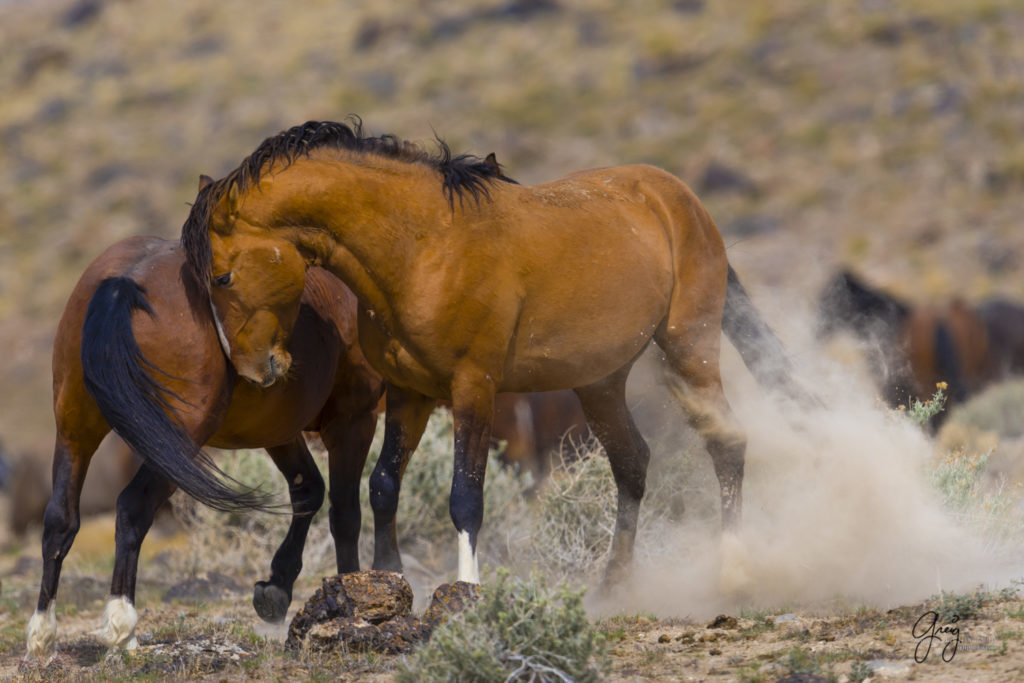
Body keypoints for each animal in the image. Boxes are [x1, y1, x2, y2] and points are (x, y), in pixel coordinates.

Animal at [24, 228, 385, 655]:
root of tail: (122, 281)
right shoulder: (353, 420)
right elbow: (345, 512)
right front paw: (352, 594)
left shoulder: (279, 430)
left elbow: (308, 490)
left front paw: (277, 588)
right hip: (175, 438)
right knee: (133, 506)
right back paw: (121, 624)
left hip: (74, 431)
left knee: (60, 519)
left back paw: (43, 630)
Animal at [180, 117, 806, 589]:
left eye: (222, 276)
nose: (255, 369)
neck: (422, 249)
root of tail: (682, 201)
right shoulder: (410, 392)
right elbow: (384, 486)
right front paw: (390, 581)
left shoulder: (472, 388)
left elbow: (465, 497)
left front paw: (466, 593)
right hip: (600, 381)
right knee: (633, 462)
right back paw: (614, 586)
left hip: (689, 349)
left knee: (726, 442)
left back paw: (732, 570)